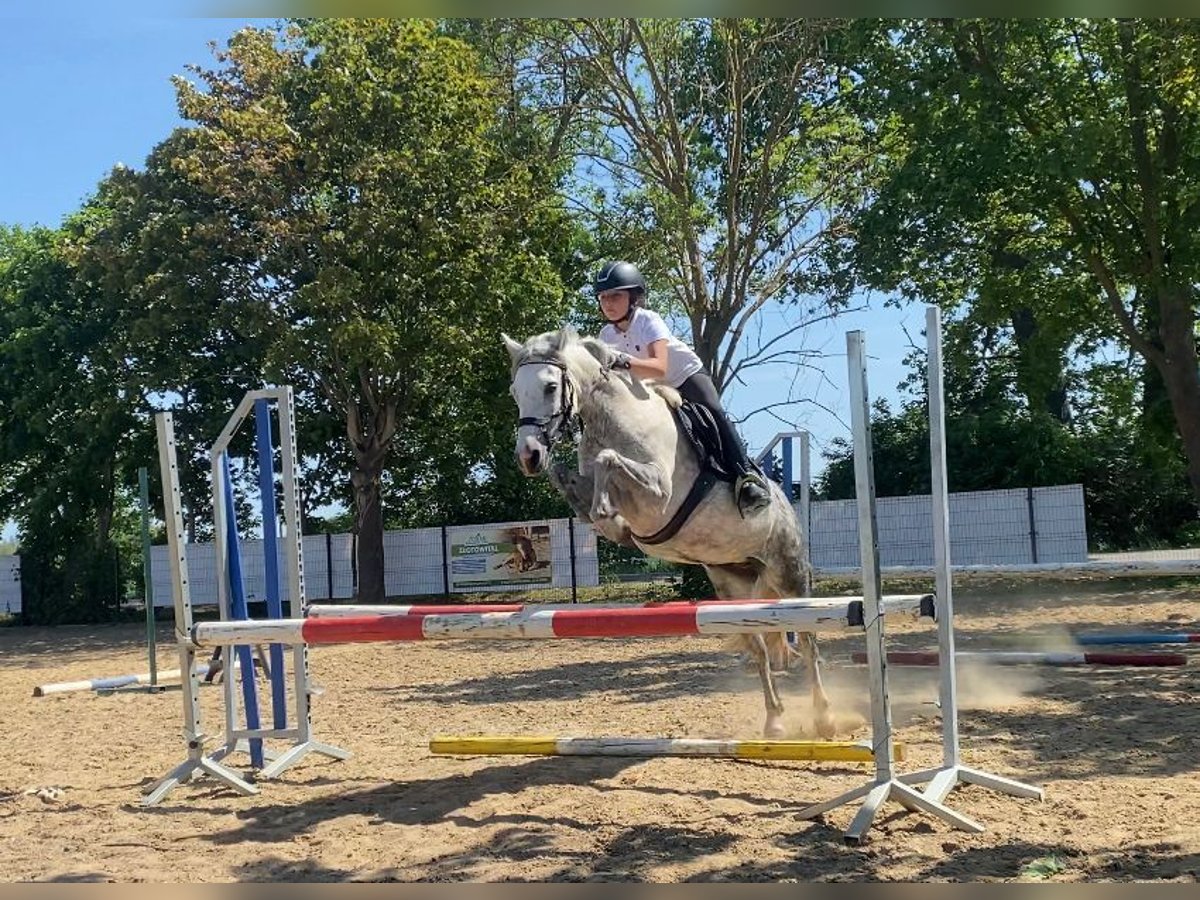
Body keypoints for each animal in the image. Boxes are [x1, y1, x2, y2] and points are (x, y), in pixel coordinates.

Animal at [501, 326, 830, 739]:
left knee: (809, 638)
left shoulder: (658, 493)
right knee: (758, 648)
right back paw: (774, 719)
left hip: (789, 571)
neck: (615, 418)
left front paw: (608, 518)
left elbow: (609, 462)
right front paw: (603, 519)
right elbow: (566, 477)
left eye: (549, 387)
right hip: (732, 584)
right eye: (515, 391)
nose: (528, 456)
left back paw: (824, 716)